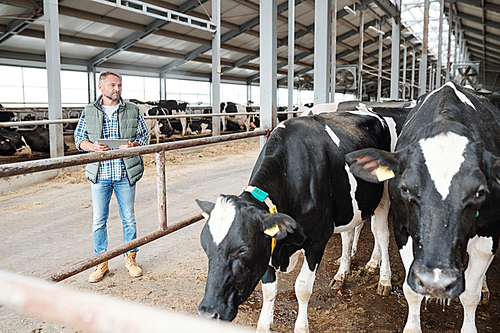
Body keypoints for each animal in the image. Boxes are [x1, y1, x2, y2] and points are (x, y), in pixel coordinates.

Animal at [195, 110, 394, 330]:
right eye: (205, 247)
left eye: (243, 249)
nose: (208, 312)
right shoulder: (269, 246)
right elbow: (269, 290)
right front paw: (264, 325)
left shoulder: (317, 241)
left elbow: (302, 288)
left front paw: (301, 327)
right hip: (349, 205)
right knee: (349, 234)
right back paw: (342, 273)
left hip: (384, 195)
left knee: (380, 233)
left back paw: (382, 276)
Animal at [348, 80, 500, 332]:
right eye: (406, 188)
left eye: (480, 192)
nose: (436, 282)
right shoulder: (403, 228)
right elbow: (411, 290)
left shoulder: (489, 234)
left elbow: (470, 294)